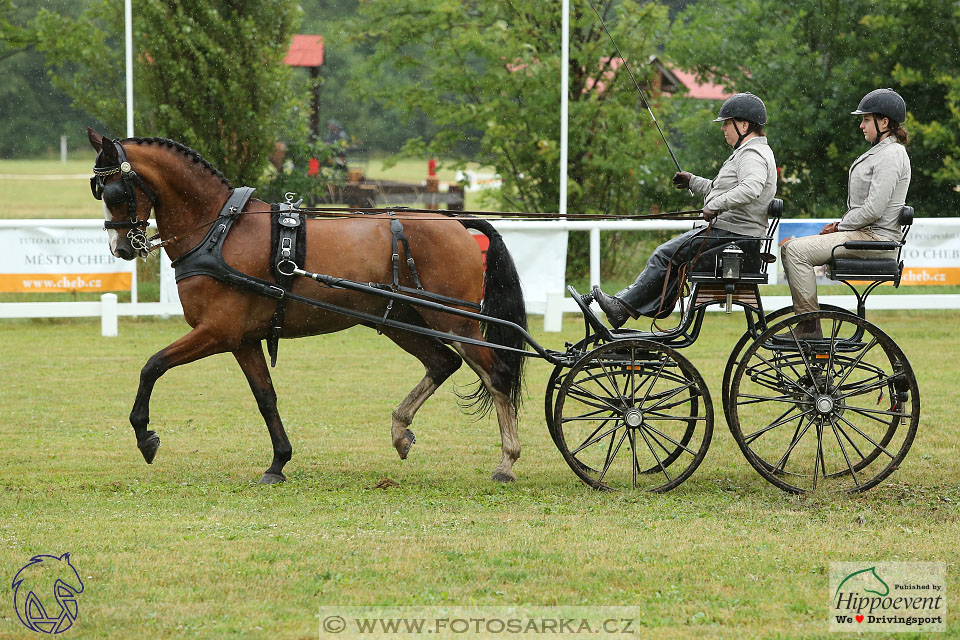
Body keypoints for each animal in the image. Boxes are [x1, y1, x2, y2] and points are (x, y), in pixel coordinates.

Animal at [86, 127, 528, 482]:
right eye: (98, 190)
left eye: (115, 191)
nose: (121, 247)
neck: (218, 231)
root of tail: (455, 222)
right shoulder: (242, 339)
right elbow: (265, 398)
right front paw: (278, 462)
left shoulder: (216, 331)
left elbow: (153, 365)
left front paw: (145, 435)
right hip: (400, 321)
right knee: (442, 363)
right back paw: (400, 430)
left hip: (456, 322)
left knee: (497, 375)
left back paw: (506, 462)